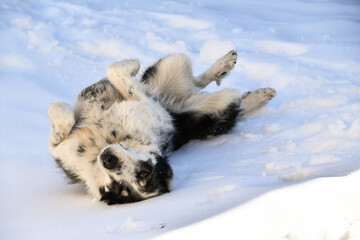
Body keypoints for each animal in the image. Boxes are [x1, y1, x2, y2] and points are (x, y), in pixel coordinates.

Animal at [45, 50, 276, 204]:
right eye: (114, 186)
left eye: (143, 174)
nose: (109, 161)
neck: (110, 140)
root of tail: (181, 106)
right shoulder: (60, 148)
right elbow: (62, 120)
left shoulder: (146, 105)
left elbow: (116, 72)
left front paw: (132, 65)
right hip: (179, 73)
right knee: (204, 85)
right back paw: (235, 77)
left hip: (195, 84)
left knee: (221, 95)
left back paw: (250, 89)